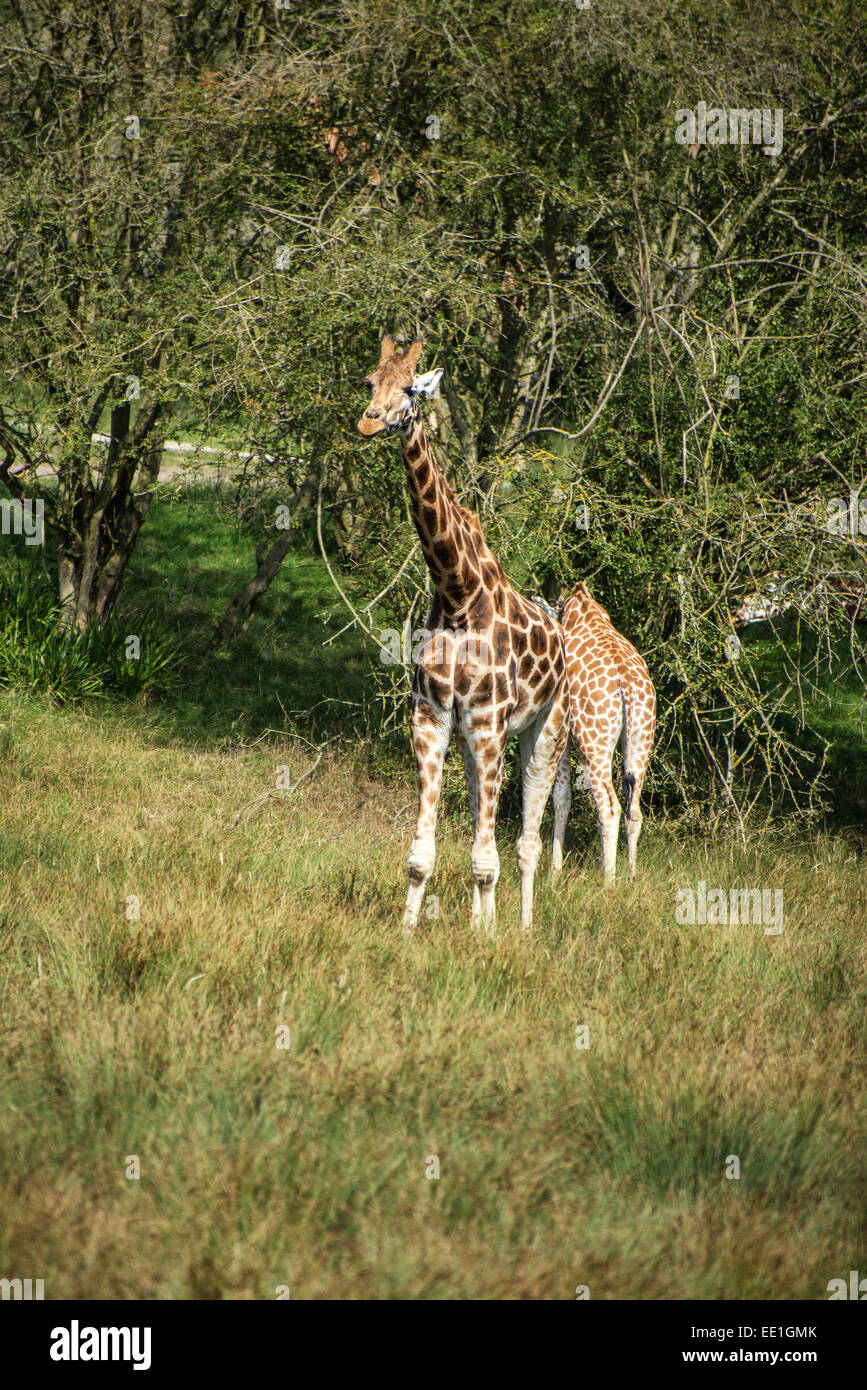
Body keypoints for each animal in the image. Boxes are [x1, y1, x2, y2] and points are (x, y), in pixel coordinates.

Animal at [357, 335, 569, 932]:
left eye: (411, 388)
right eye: (369, 382)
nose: (368, 422)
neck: (457, 592)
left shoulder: (487, 723)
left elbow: (487, 854)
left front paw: (491, 937)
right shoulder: (432, 718)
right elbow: (422, 853)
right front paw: (410, 931)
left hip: (543, 731)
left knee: (525, 842)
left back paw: (520, 926)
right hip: (482, 743)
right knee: (487, 824)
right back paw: (484, 921)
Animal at [551, 581, 655, 880]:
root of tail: (626, 684)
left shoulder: (558, 731)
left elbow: (561, 797)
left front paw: (554, 870)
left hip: (594, 746)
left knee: (609, 809)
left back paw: (608, 880)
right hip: (641, 741)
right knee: (634, 810)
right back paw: (630, 874)